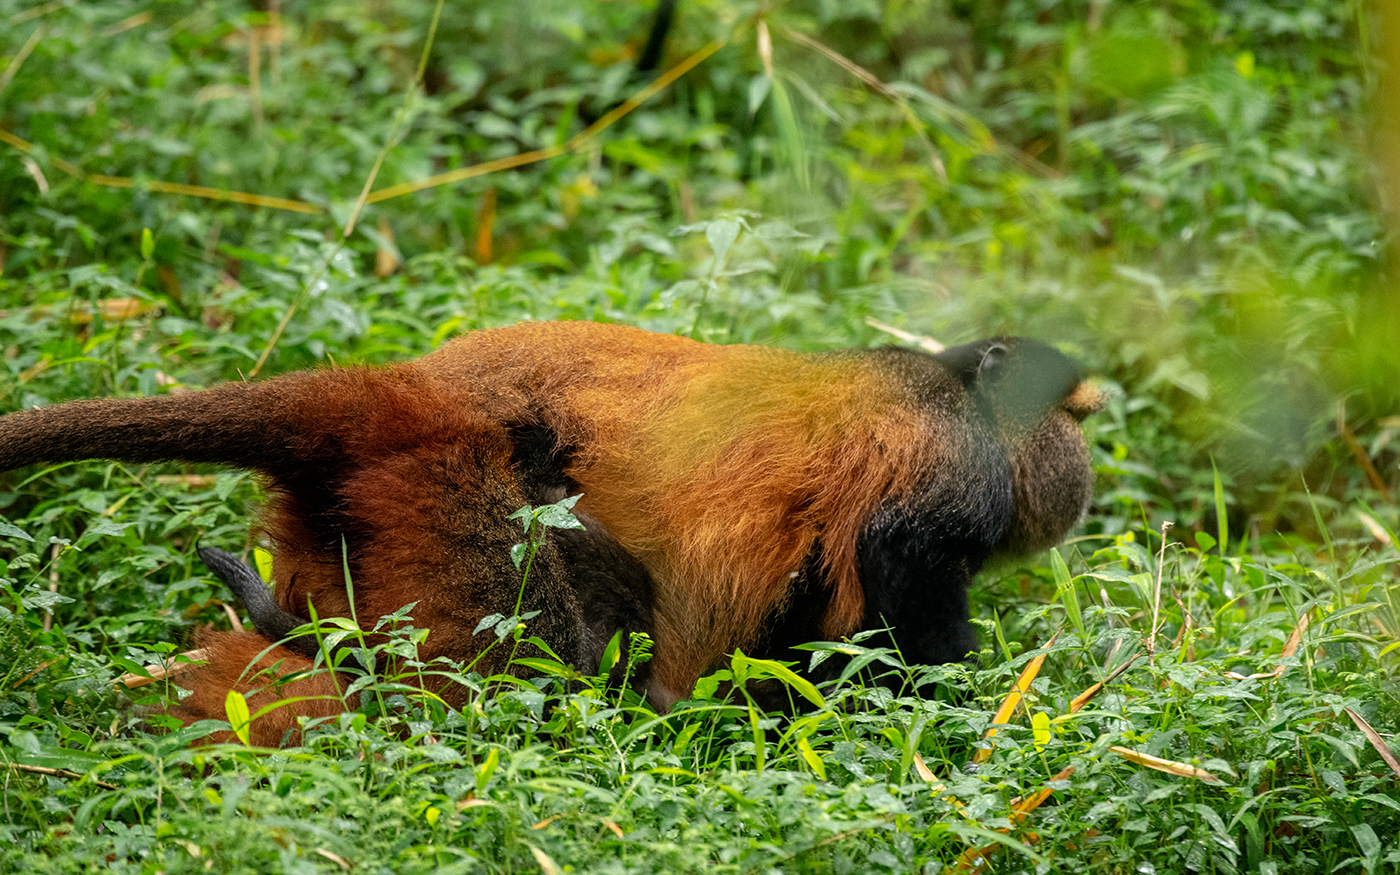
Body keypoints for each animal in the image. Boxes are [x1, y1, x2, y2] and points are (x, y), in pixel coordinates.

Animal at [0, 321, 1101, 745]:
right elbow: (903, 583)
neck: (952, 381)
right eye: (1067, 412)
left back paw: (289, 635)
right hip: (465, 499)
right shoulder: (951, 464)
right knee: (548, 653)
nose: (1081, 447)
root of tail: (412, 396)